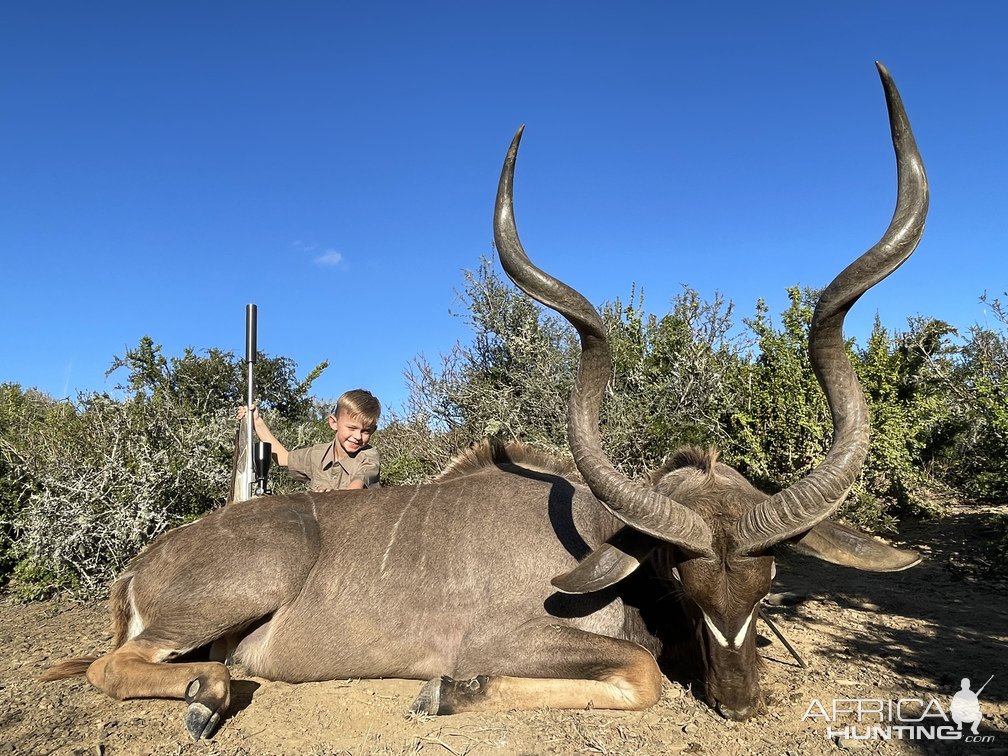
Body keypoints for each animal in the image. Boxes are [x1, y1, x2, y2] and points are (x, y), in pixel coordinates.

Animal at [45, 65, 927, 741]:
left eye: (768, 580)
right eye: (683, 580)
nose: (740, 702)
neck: (602, 542)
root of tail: (139, 567)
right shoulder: (506, 637)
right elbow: (639, 671)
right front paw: (445, 692)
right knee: (116, 665)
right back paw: (206, 696)